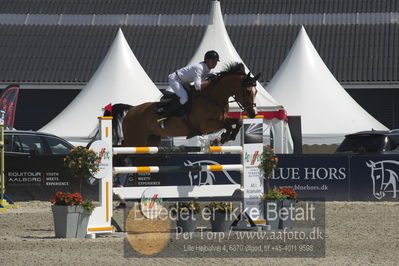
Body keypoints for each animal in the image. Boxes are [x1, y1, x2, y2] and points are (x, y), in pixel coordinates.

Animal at [122, 61, 260, 147]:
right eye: (247, 91)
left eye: (256, 91)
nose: (253, 114)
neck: (212, 98)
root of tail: (131, 110)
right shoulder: (206, 126)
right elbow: (227, 125)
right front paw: (223, 138)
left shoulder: (222, 119)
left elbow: (237, 121)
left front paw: (226, 137)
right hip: (135, 140)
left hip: (151, 140)